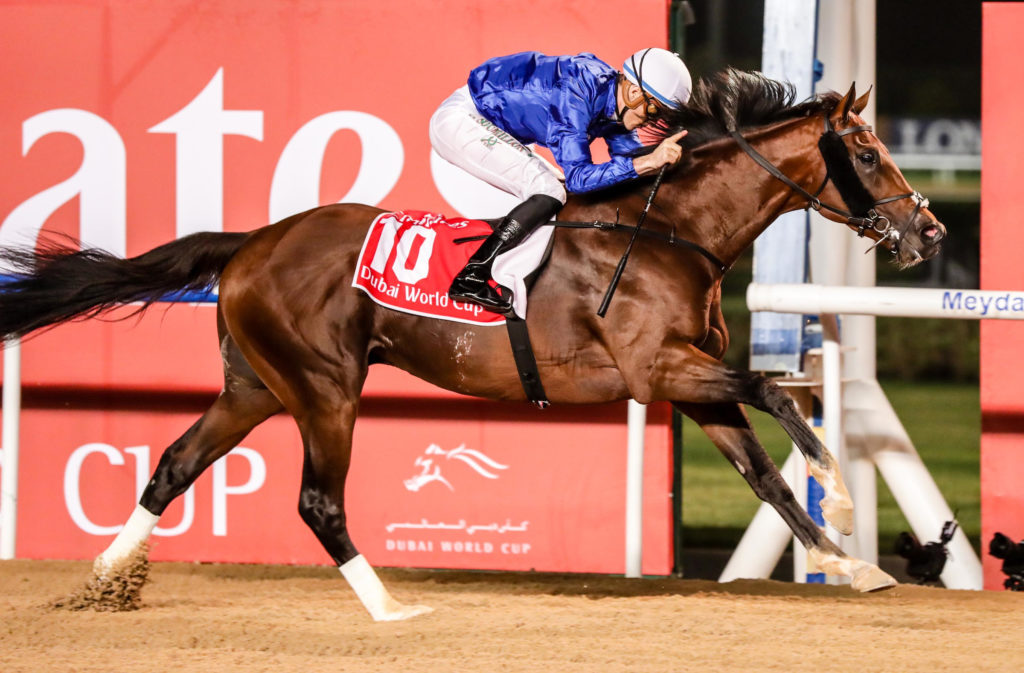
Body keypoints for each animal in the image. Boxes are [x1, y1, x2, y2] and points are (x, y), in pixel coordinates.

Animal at [0, 69, 942, 618]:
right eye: (865, 151)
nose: (927, 230)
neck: (673, 231)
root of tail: (254, 241)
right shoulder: (659, 367)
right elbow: (779, 393)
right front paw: (845, 503)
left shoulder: (689, 381)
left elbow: (766, 476)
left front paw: (852, 565)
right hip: (324, 387)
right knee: (318, 500)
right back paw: (389, 608)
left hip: (256, 386)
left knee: (172, 464)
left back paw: (102, 579)